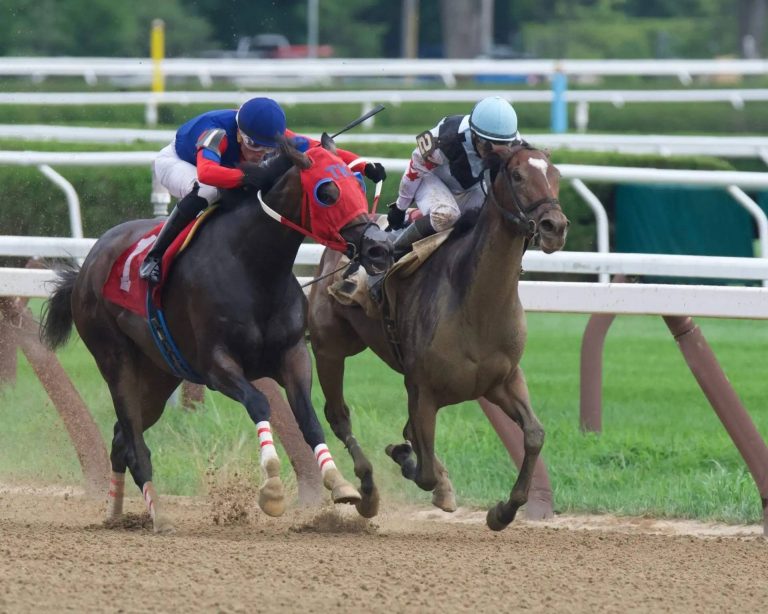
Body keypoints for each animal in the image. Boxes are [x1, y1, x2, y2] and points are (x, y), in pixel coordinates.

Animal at [40, 135, 391, 533]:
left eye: (359, 186)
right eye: (327, 192)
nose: (378, 247)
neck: (253, 268)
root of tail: (89, 262)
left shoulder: (293, 355)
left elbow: (308, 418)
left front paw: (340, 483)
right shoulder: (216, 366)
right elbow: (259, 402)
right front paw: (272, 489)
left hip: (160, 374)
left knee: (120, 438)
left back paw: (115, 512)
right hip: (114, 359)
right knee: (133, 440)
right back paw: (158, 516)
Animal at [307, 144, 569, 530]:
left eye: (556, 175)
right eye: (518, 175)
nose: (555, 226)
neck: (477, 305)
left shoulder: (502, 380)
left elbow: (534, 435)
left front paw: (502, 511)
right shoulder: (422, 389)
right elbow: (424, 469)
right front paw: (407, 460)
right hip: (330, 348)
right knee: (338, 415)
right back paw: (366, 494)